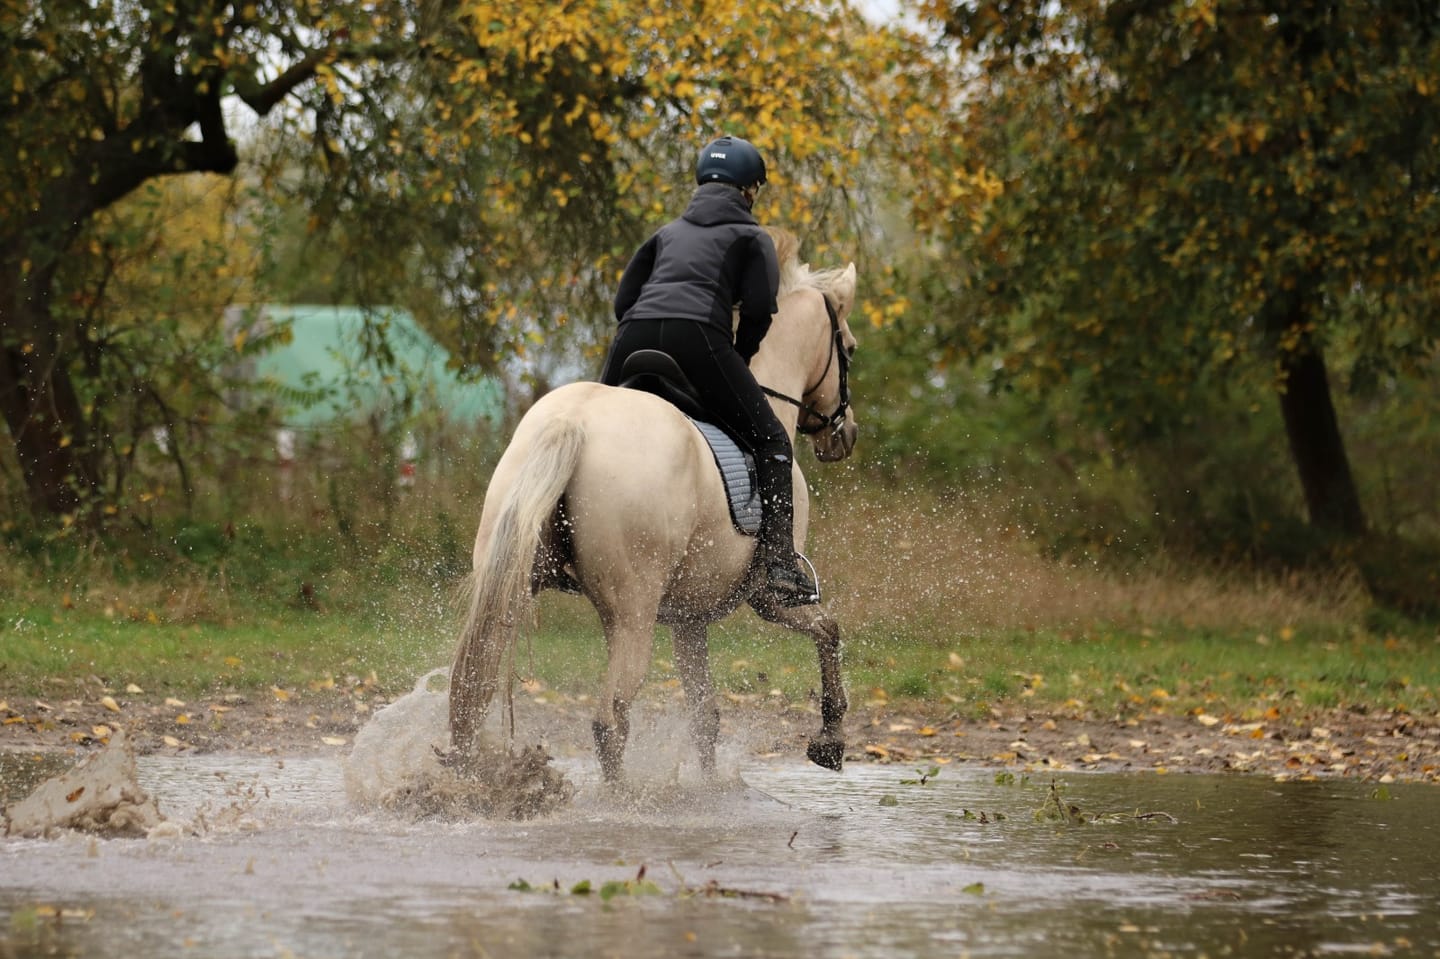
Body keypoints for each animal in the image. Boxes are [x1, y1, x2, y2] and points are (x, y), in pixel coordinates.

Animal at [448, 228, 858, 782]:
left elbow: (706, 717)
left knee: (472, 688)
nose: (845, 435)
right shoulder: (770, 598)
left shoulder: (688, 619)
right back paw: (621, 799)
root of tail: (573, 422)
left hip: (516, 579)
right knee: (609, 721)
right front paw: (830, 739)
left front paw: (710, 792)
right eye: (849, 350)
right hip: (633, 615)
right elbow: (828, 631)